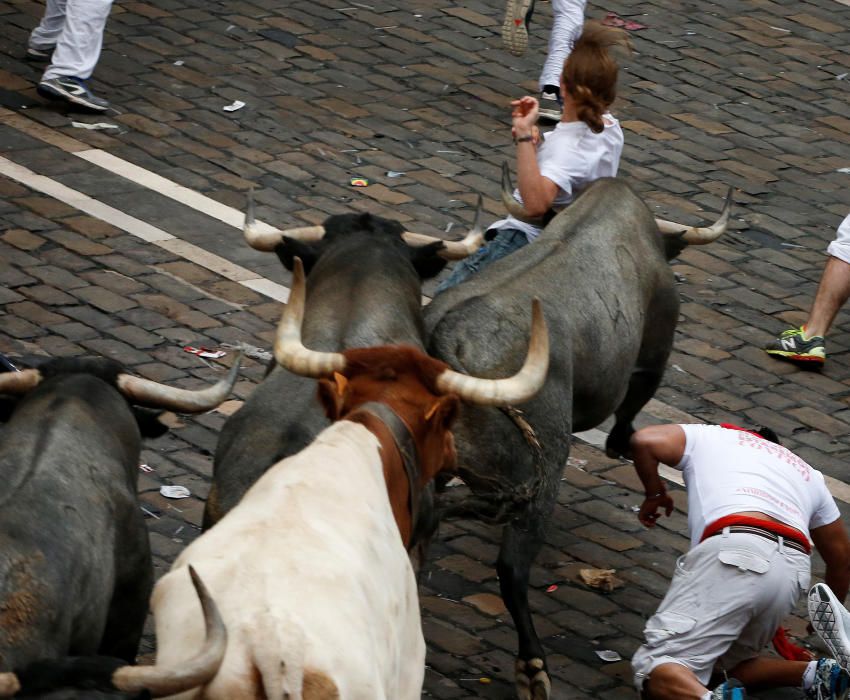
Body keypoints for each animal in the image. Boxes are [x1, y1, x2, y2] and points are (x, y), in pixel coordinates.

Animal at [424, 176, 728, 700]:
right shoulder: (654, 351)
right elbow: (633, 403)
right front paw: (620, 443)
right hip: (542, 469)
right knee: (511, 568)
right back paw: (532, 668)